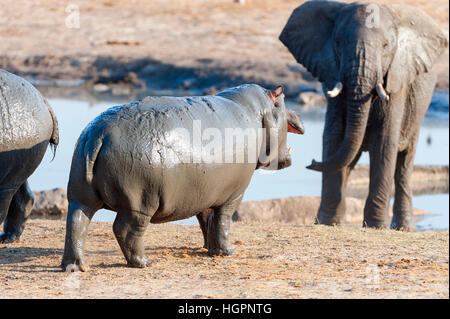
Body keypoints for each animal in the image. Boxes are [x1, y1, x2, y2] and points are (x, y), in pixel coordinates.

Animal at [61, 84, 304, 272]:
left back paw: (75, 266)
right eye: (282, 102)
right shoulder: (234, 193)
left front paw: (210, 249)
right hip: (140, 203)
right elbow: (223, 221)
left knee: (76, 222)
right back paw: (144, 263)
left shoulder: (207, 193)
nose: (298, 118)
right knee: (125, 230)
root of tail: (100, 134)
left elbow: (207, 221)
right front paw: (228, 252)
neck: (257, 111)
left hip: (80, 195)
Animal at [280, 0, 448, 230]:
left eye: (386, 46)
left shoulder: (396, 80)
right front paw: (327, 223)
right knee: (348, 157)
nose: (311, 162)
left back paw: (403, 228)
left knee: (404, 163)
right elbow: (334, 137)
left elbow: (384, 143)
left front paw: (376, 226)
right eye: (338, 42)